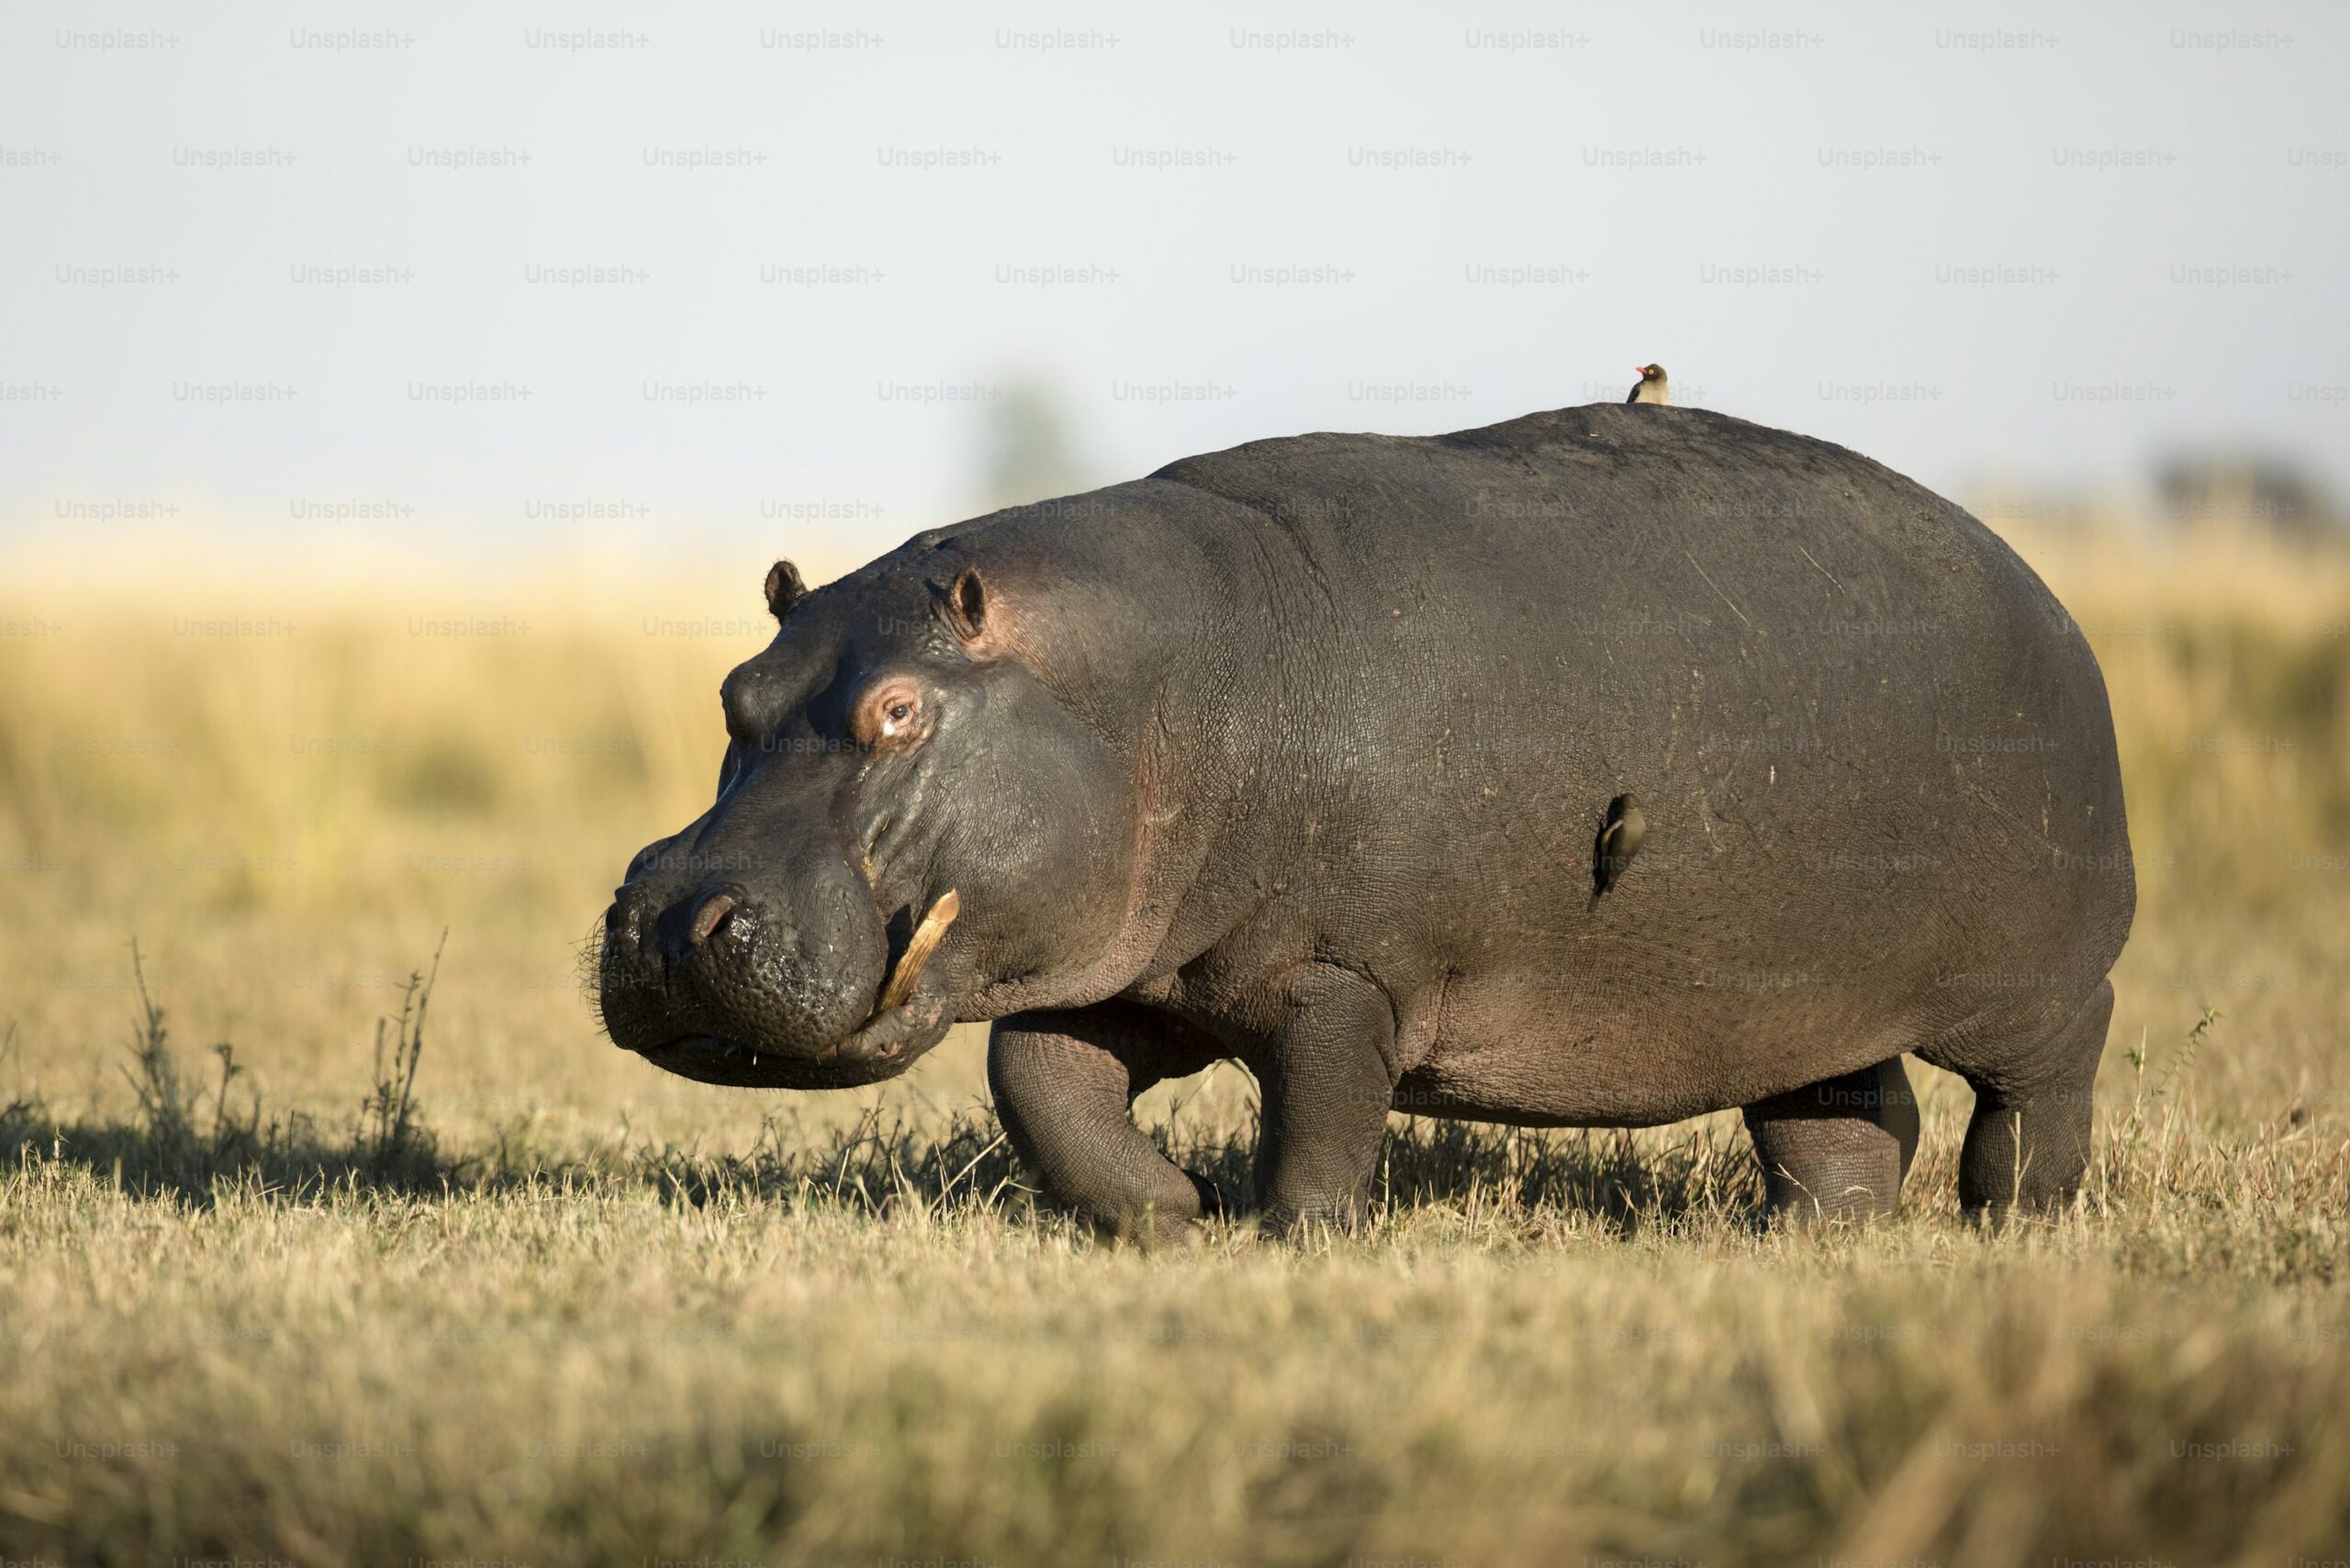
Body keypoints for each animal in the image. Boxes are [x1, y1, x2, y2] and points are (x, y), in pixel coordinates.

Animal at [599, 403, 2135, 1238]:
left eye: (901, 711)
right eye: (737, 694)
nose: (666, 921)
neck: (1164, 685)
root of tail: (2043, 586)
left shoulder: (1342, 975)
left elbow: (1325, 1113)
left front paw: (1295, 1238)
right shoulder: (1149, 969)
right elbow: (1039, 1082)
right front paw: (1169, 1220)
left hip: (2029, 980)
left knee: (2043, 1078)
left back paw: (2013, 1217)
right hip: (1805, 992)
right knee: (1845, 1112)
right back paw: (1807, 1235)